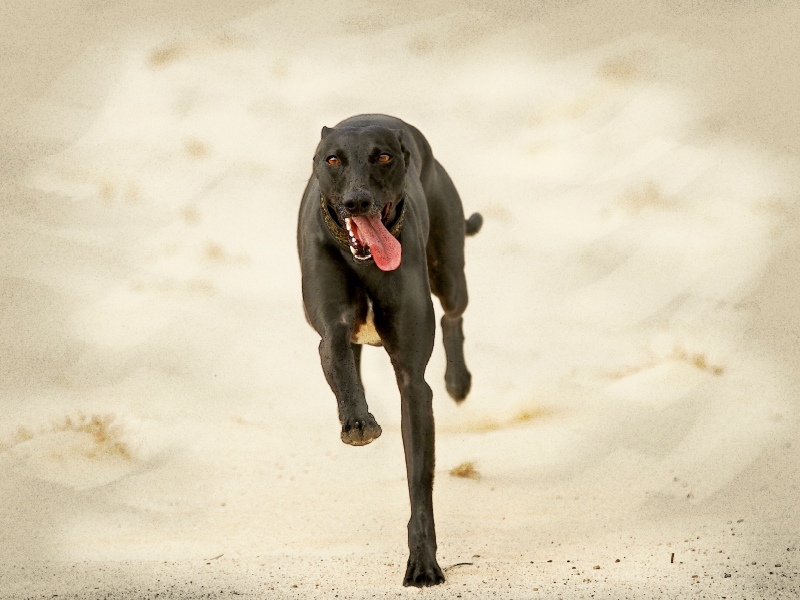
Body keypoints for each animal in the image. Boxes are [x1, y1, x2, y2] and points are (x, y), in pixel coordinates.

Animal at [296, 112, 478, 584]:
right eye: (333, 159)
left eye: (382, 157)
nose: (358, 202)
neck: (363, 260)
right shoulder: (331, 328)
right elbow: (339, 358)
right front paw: (358, 421)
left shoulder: (413, 384)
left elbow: (419, 482)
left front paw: (423, 563)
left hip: (449, 271)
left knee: (453, 314)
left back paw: (458, 380)